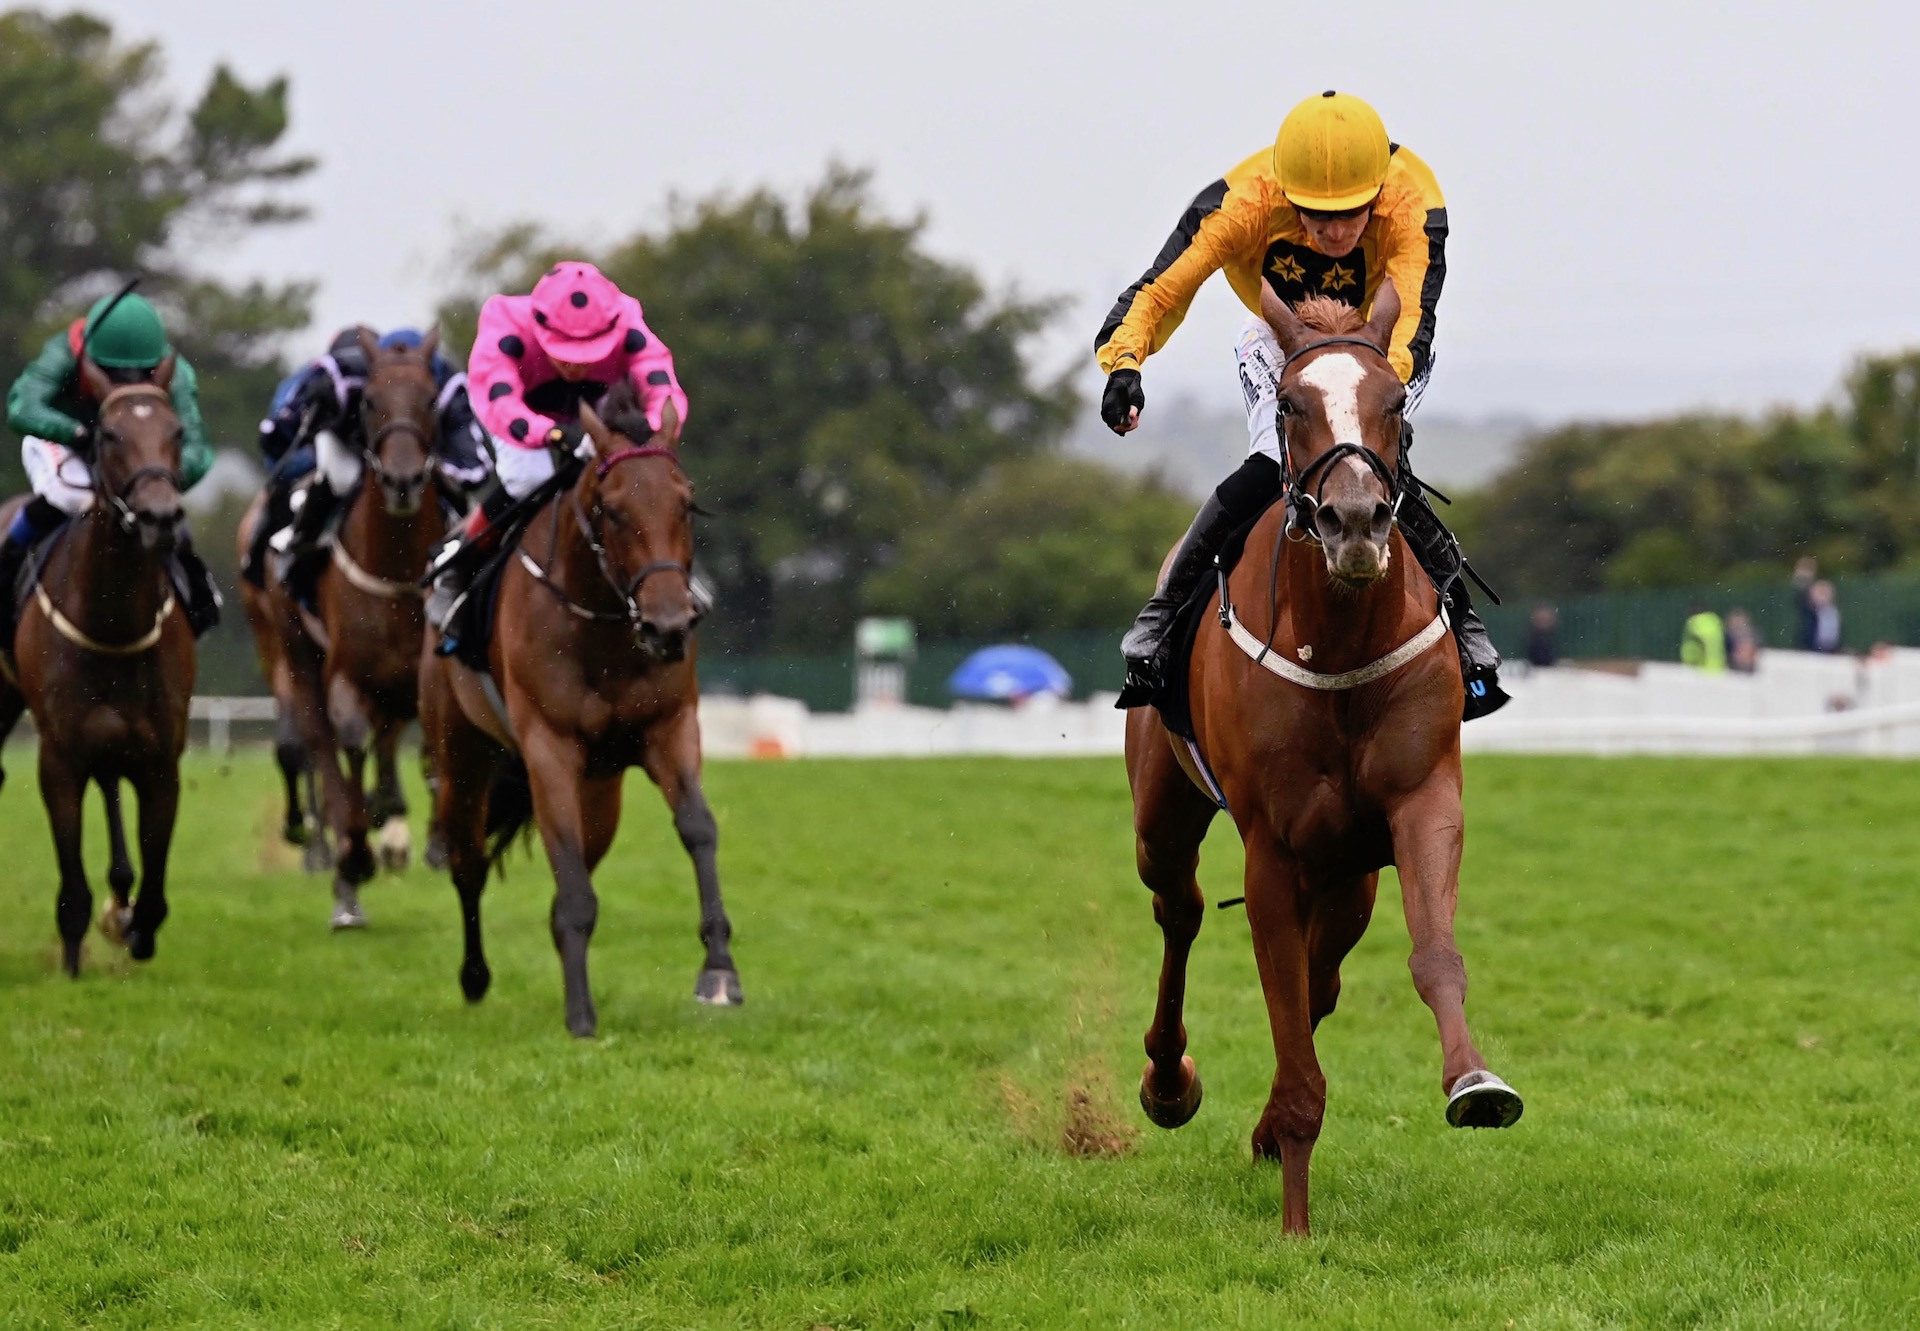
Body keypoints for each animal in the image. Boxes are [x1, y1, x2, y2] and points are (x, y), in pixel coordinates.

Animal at [0, 363, 194, 975]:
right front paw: (72, 958)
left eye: (178, 432)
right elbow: (71, 886)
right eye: (108, 435)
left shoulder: (160, 760)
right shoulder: (59, 759)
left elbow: (155, 891)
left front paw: (134, 927)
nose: (160, 516)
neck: (113, 623)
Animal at [259, 332, 445, 925]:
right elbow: (350, 747)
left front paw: (435, 840)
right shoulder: (347, 675)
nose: (403, 481)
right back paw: (343, 869)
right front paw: (356, 858)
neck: (397, 573)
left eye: (430, 400)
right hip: (295, 655)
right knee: (317, 746)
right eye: (370, 403)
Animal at [422, 384, 741, 1037]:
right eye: (612, 510)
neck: (605, 630)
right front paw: (579, 1013)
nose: (668, 625)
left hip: (602, 789)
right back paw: (474, 977)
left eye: (686, 503)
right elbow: (565, 872)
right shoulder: (549, 747)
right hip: (463, 751)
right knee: (469, 861)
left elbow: (698, 828)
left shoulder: (670, 729)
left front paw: (719, 970)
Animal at [1128, 282, 1520, 1236]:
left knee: (1322, 976)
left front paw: (1475, 1081)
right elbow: (1282, 1007)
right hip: (1163, 812)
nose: (1355, 520)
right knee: (1180, 909)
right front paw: (1295, 1221)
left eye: (1395, 402)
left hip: (1349, 874)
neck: (1339, 636)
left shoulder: (1422, 803)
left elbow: (1430, 955)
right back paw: (1169, 1082)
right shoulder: (1271, 848)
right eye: (1291, 404)